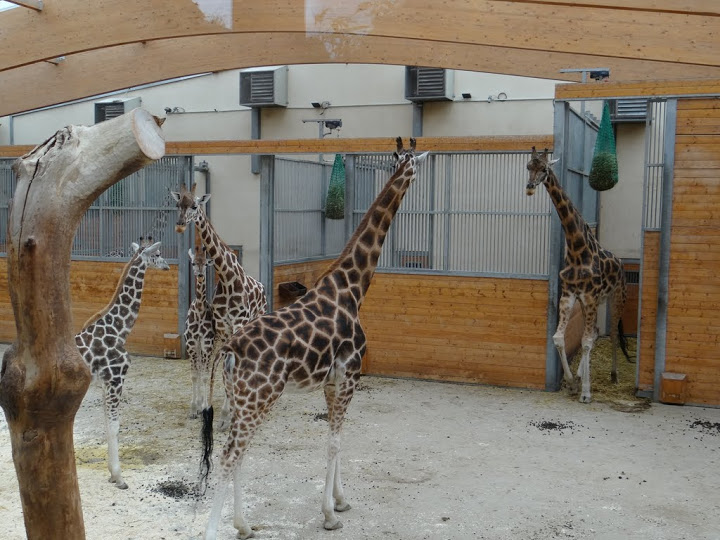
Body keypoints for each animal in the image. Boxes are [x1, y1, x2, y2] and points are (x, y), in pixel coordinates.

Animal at [75, 237, 170, 489]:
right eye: (158, 255)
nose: (167, 266)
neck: (119, 330)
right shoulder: (116, 378)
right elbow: (115, 426)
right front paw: (119, 477)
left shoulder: (104, 382)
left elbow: (107, 424)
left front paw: (112, 473)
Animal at [171, 183, 267, 428]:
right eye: (178, 204)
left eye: (194, 206)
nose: (180, 225)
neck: (226, 276)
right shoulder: (223, 328)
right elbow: (223, 366)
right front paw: (225, 414)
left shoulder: (238, 324)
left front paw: (228, 413)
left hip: (256, 319)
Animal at [198, 137, 428, 540]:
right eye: (413, 163)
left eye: (401, 159)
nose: (411, 174)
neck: (351, 289)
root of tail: (230, 349)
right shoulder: (349, 375)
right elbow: (335, 442)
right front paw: (330, 514)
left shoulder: (332, 382)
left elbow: (336, 439)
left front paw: (340, 500)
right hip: (259, 398)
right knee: (229, 456)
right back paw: (221, 529)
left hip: (242, 400)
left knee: (237, 453)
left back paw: (243, 525)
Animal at [526, 147, 629, 403]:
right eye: (528, 166)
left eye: (544, 169)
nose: (530, 187)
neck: (577, 249)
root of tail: (621, 263)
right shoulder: (570, 295)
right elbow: (559, 338)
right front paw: (573, 383)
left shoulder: (590, 297)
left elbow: (585, 341)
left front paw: (586, 392)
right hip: (589, 303)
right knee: (595, 332)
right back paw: (583, 374)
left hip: (617, 297)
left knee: (612, 333)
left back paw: (613, 375)